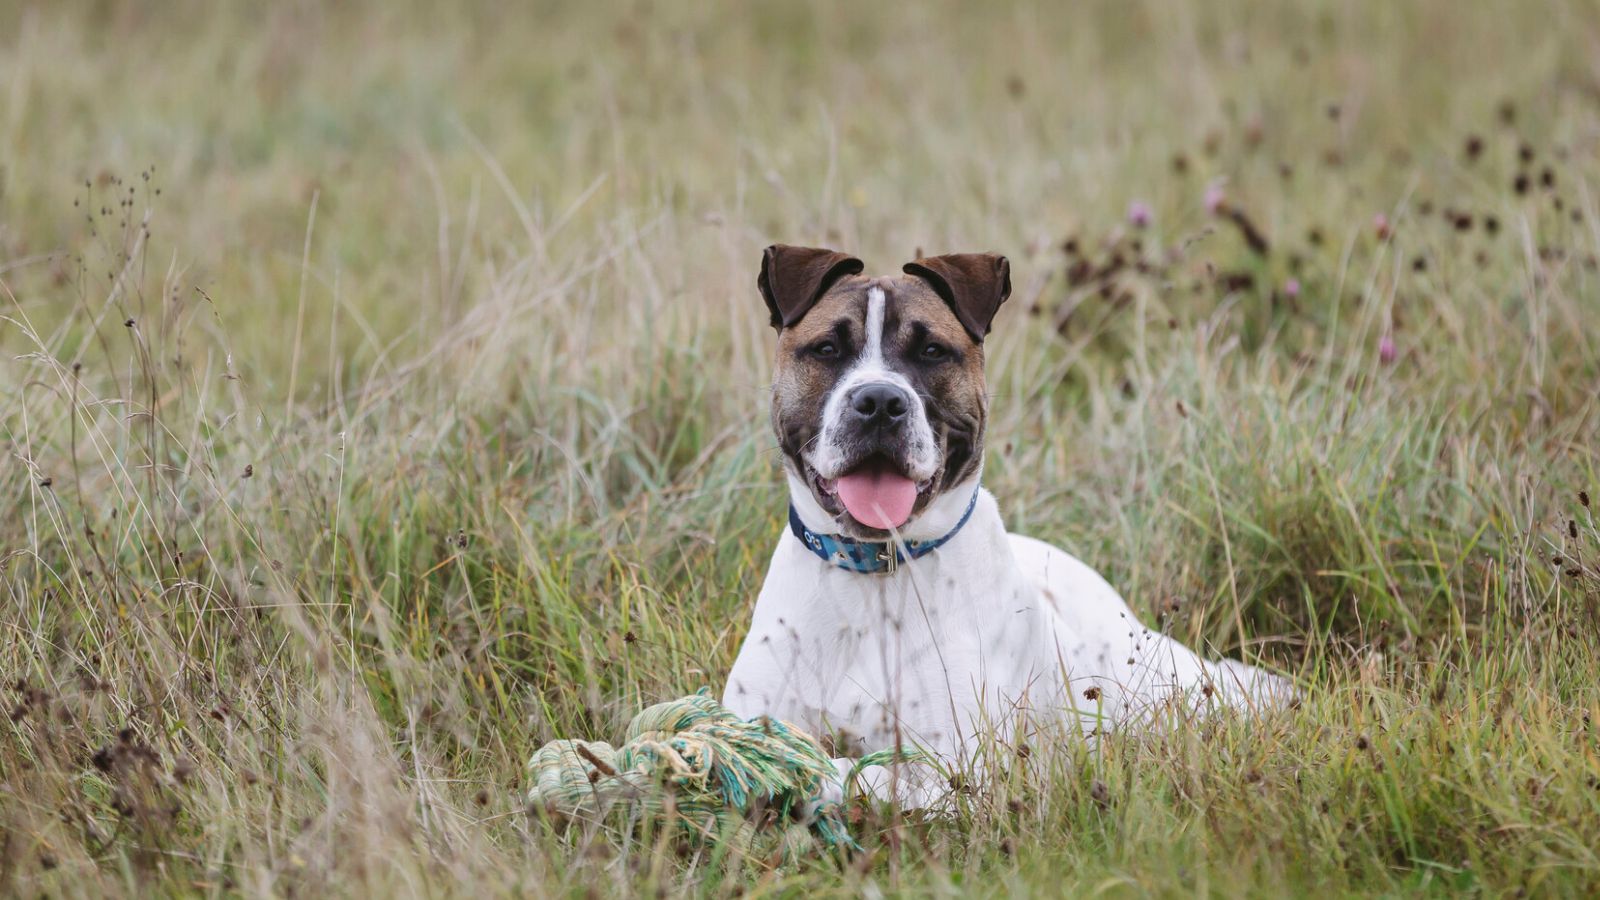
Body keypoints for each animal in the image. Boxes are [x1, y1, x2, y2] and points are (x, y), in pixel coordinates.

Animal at [726, 243, 1299, 807]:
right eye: (827, 349)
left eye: (932, 352)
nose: (880, 402)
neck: (876, 574)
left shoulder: (961, 770)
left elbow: (853, 773)